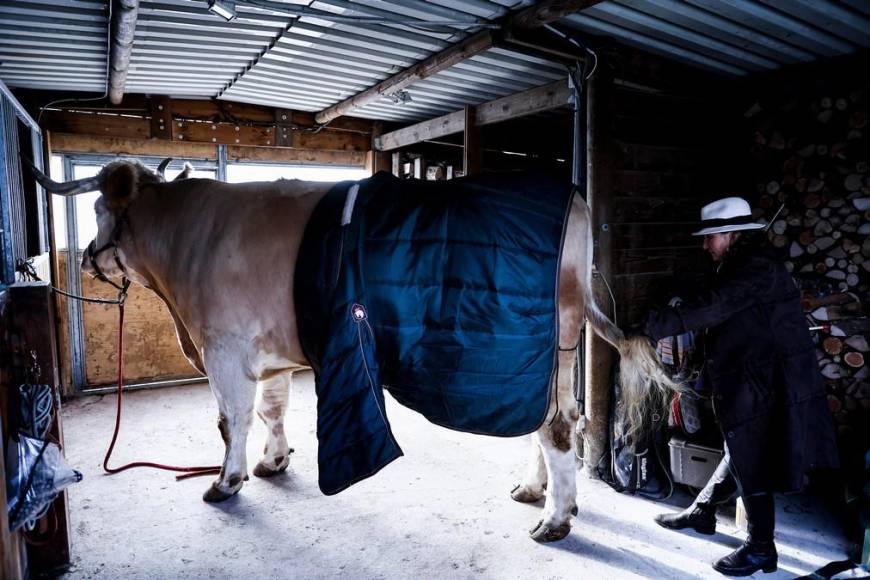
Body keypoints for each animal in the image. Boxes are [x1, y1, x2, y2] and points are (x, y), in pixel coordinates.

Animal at [30, 159, 676, 544]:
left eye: (96, 210)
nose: (84, 257)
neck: (185, 243)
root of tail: (572, 194)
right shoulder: (271, 353)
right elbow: (271, 409)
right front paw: (274, 462)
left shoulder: (223, 346)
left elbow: (231, 419)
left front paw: (226, 482)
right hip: (547, 358)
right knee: (556, 419)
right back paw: (534, 491)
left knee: (558, 425)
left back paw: (556, 519)